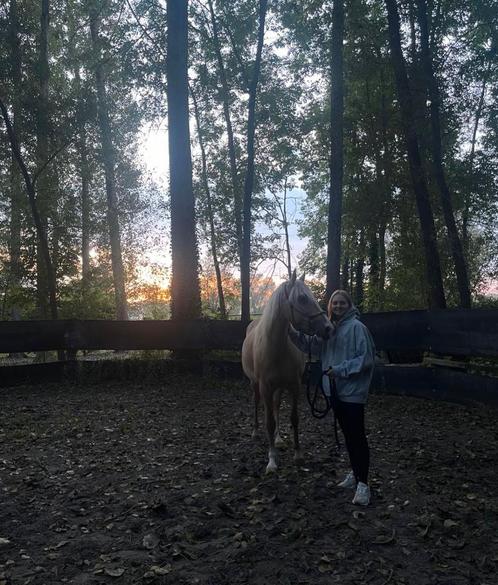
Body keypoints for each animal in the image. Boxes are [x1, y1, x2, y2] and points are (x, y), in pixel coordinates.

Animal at [241, 272, 330, 472]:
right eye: (302, 298)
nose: (328, 327)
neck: (276, 347)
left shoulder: (294, 386)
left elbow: (293, 418)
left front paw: (297, 454)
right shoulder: (265, 387)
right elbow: (269, 422)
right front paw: (272, 460)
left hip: (280, 387)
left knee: (276, 406)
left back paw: (279, 438)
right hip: (255, 384)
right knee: (257, 403)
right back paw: (255, 432)